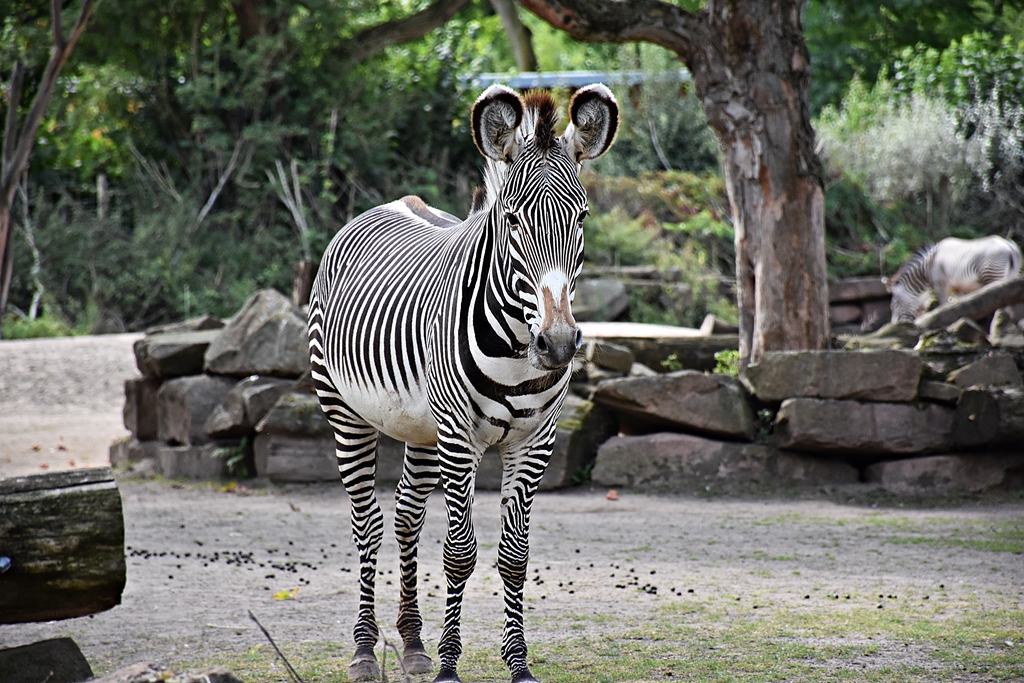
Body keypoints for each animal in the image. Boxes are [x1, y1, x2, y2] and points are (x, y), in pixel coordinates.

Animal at [307, 84, 619, 683]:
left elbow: (513, 557)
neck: (518, 350)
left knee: (406, 516)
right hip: (347, 413)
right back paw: (364, 650)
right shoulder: (459, 436)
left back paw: (411, 644)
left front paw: (517, 663)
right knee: (368, 523)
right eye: (513, 221)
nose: (558, 345)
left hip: (421, 429)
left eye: (582, 218)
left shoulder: (534, 442)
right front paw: (451, 665)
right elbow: (459, 552)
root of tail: (396, 202)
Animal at [889, 236, 1023, 323]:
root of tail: (1009, 245)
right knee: (1011, 307)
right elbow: (958, 305)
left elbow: (944, 305)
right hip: (1010, 278)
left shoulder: (940, 283)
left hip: (993, 276)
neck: (927, 267)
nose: (894, 325)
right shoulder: (958, 287)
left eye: (894, 305)